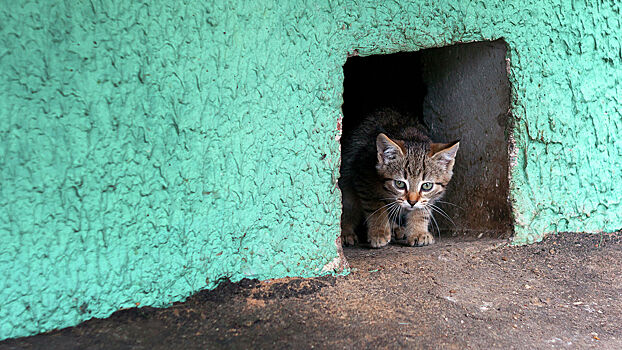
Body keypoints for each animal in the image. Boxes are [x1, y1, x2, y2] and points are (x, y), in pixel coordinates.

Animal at [338, 109, 460, 249]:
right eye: (399, 184)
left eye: (427, 186)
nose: (412, 202)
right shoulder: (363, 177)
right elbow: (375, 206)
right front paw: (379, 232)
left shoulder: (429, 197)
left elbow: (422, 209)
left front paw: (418, 232)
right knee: (348, 206)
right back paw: (345, 233)